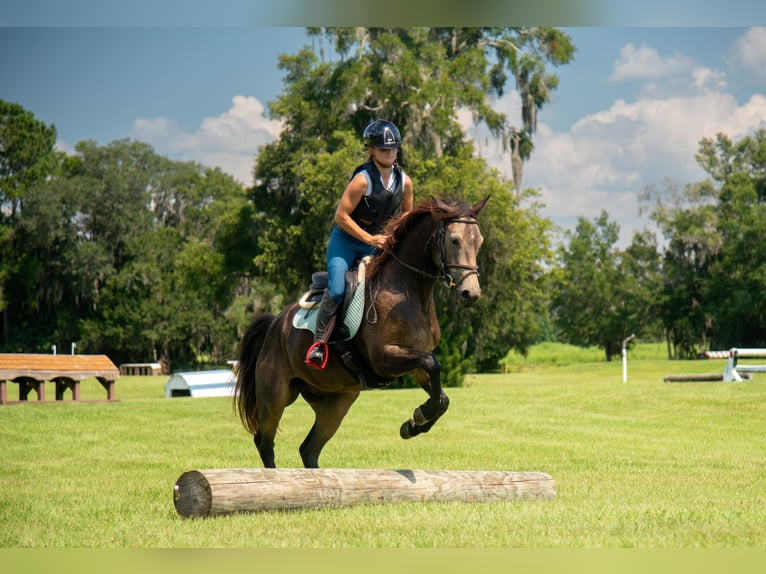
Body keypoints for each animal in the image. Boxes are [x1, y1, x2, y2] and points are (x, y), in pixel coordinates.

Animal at [234, 196, 489, 468]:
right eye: (454, 240)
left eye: (479, 241)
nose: (471, 294)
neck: (408, 291)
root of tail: (274, 324)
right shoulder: (383, 357)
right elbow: (434, 365)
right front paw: (419, 418)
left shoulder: (415, 361)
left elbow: (440, 392)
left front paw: (415, 423)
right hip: (275, 396)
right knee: (265, 442)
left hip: (337, 401)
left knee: (308, 449)